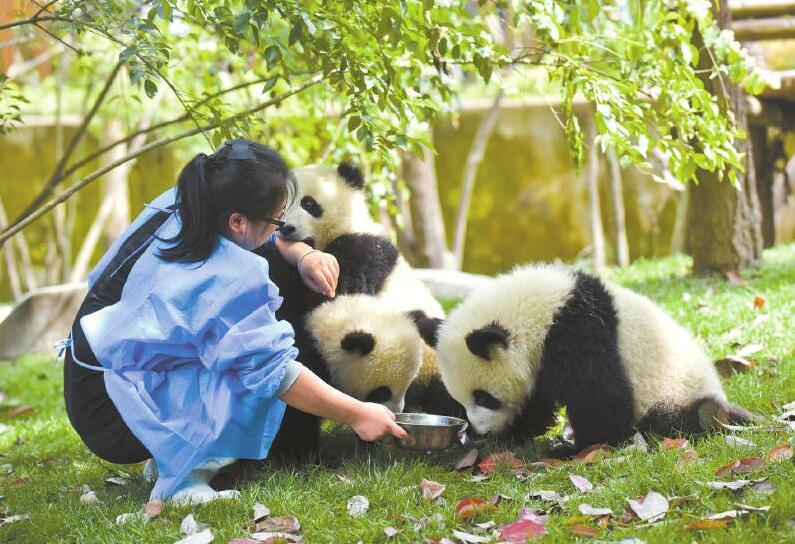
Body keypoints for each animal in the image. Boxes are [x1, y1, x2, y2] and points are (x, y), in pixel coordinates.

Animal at [423, 263, 751, 452]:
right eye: (462, 398)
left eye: (485, 397)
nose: (480, 429)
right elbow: (537, 403)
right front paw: (509, 434)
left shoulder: (578, 331)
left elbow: (597, 394)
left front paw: (583, 447)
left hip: (673, 392)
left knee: (687, 417)